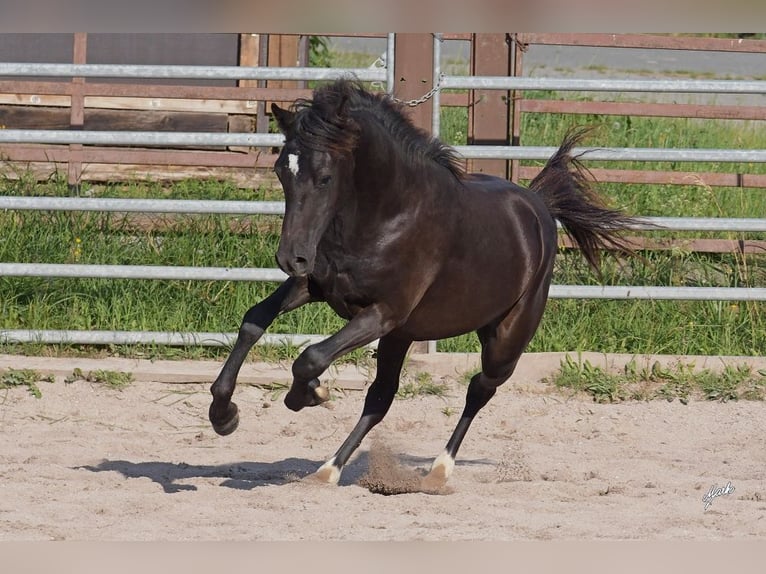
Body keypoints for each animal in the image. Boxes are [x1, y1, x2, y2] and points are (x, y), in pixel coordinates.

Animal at [208, 76, 636, 490]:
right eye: (282, 172)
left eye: (325, 177)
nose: (291, 258)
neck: (388, 217)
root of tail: (539, 205)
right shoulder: (318, 289)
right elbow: (254, 320)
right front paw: (224, 415)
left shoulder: (384, 313)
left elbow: (310, 356)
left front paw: (309, 394)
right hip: (402, 337)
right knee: (381, 398)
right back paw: (330, 469)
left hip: (502, 341)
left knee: (479, 388)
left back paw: (438, 471)